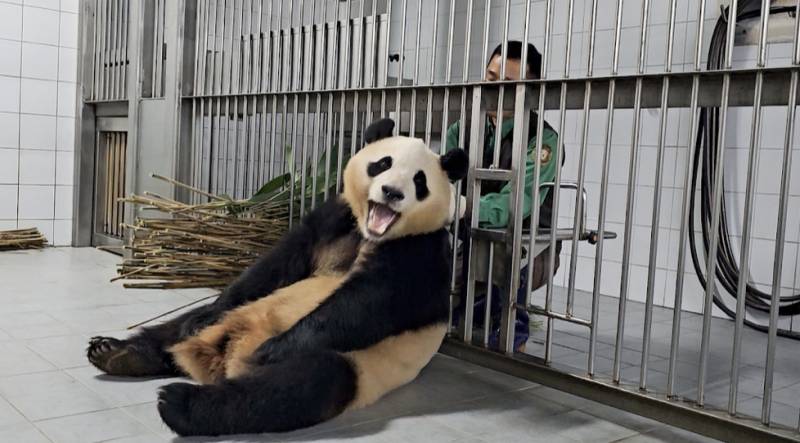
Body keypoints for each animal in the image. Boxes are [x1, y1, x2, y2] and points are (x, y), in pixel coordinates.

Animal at [86, 119, 468, 438]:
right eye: (382, 164)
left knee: (298, 385)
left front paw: (273, 349)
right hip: (228, 317)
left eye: (419, 181)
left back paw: (182, 403)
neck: (369, 233)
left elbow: (365, 303)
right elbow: (279, 263)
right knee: (178, 326)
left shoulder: (419, 253)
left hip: (357, 365)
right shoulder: (334, 218)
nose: (391, 193)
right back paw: (118, 352)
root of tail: (221, 359)